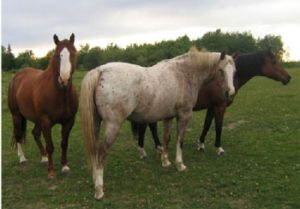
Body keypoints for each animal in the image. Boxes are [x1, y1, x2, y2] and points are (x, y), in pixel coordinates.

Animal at [7, 33, 78, 179]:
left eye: (73, 54)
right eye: (57, 55)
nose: (64, 80)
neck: (60, 94)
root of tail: (17, 75)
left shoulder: (69, 121)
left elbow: (64, 143)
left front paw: (64, 166)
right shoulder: (46, 122)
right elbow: (50, 146)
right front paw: (51, 172)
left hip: (37, 119)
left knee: (35, 133)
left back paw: (44, 158)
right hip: (16, 115)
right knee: (18, 135)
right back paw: (22, 158)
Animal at [133, 49, 290, 157]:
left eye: (235, 71)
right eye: (274, 61)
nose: (288, 78)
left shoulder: (211, 107)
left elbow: (207, 125)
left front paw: (201, 144)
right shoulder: (220, 107)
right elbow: (218, 126)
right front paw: (219, 148)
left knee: (151, 126)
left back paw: (158, 147)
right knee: (146, 127)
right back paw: (143, 151)